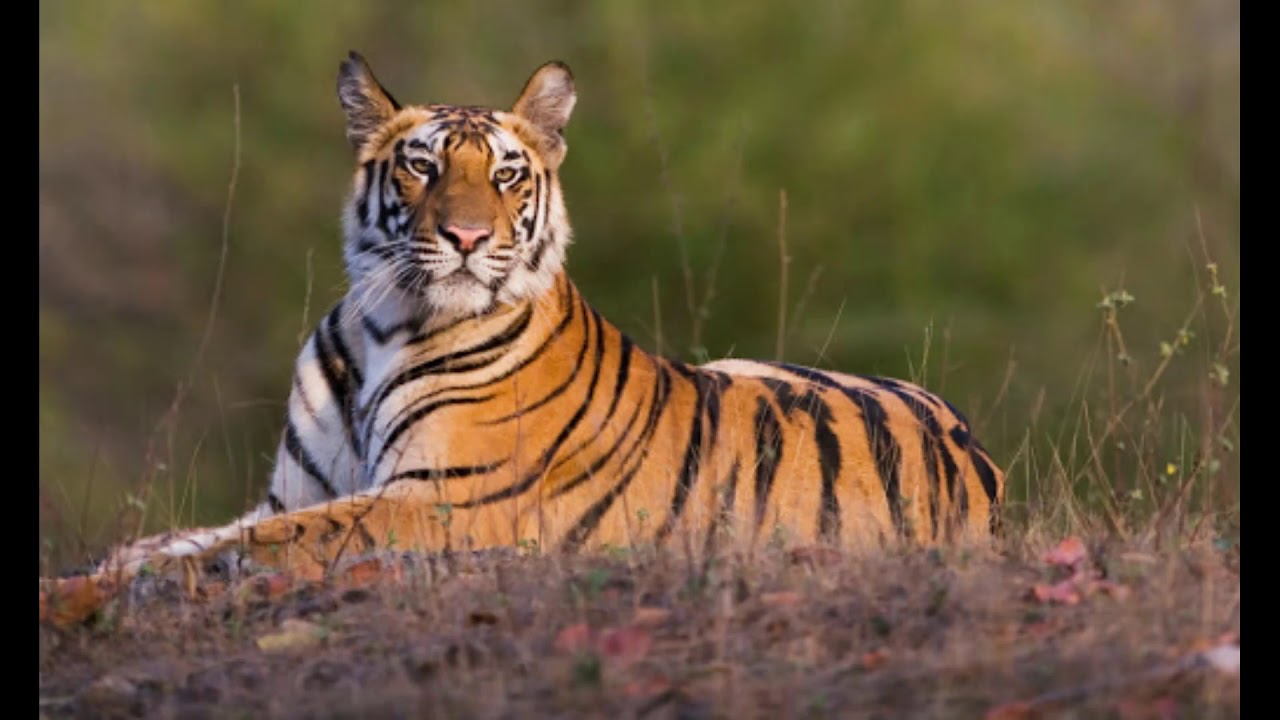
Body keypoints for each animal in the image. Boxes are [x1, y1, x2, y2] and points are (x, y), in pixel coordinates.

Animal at [92, 52, 1005, 584]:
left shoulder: (436, 501)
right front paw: (115, 563)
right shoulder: (293, 495)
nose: (466, 237)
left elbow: (244, 549)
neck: (383, 324)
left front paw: (94, 597)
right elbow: (190, 538)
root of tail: (977, 456)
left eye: (504, 175)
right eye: (422, 167)